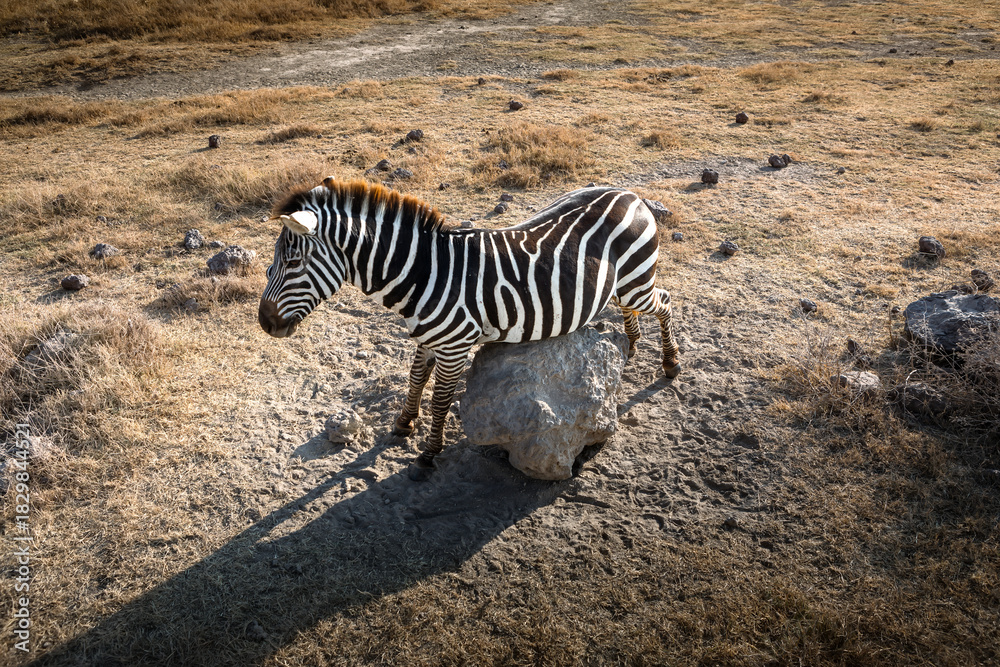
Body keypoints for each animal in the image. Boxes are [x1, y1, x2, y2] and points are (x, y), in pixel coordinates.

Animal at [259, 178, 680, 480]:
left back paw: (671, 363)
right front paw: (403, 423)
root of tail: (629, 193)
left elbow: (441, 401)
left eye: (293, 262)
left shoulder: (455, 346)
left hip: (637, 280)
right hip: (622, 285)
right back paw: (632, 342)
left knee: (665, 301)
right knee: (633, 307)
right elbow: (415, 380)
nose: (264, 322)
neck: (423, 274)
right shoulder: (428, 339)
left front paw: (428, 455)